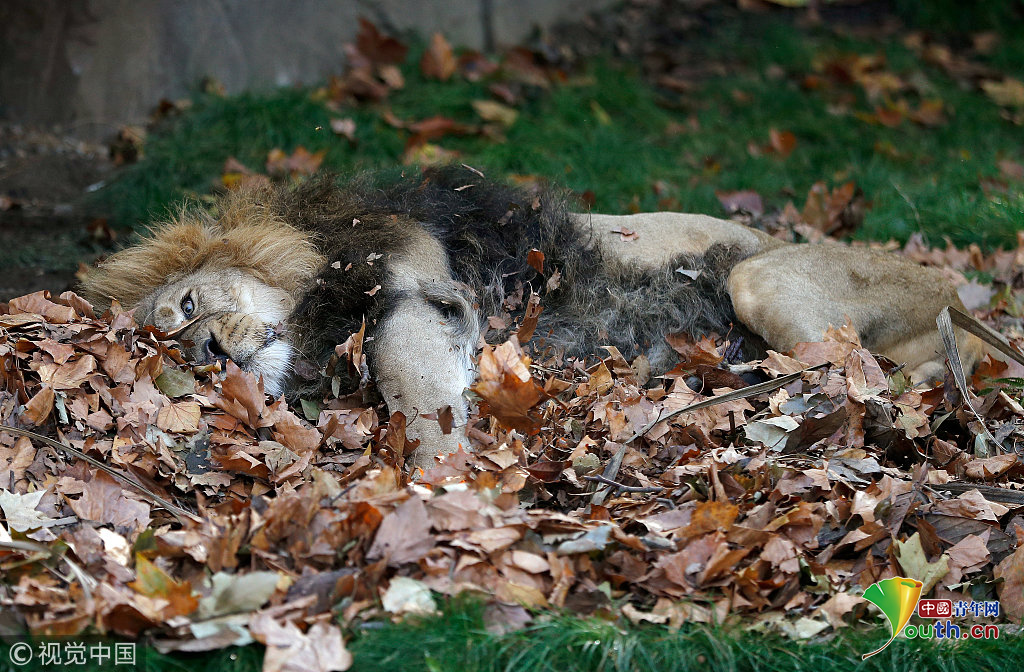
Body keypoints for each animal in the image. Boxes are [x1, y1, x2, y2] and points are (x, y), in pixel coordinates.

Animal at [79, 164, 983, 469]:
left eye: (187, 307)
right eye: (168, 348)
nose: (204, 352)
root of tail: (961, 301)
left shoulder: (420, 288)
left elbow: (413, 387)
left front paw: (437, 481)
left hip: (760, 276)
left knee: (877, 378)